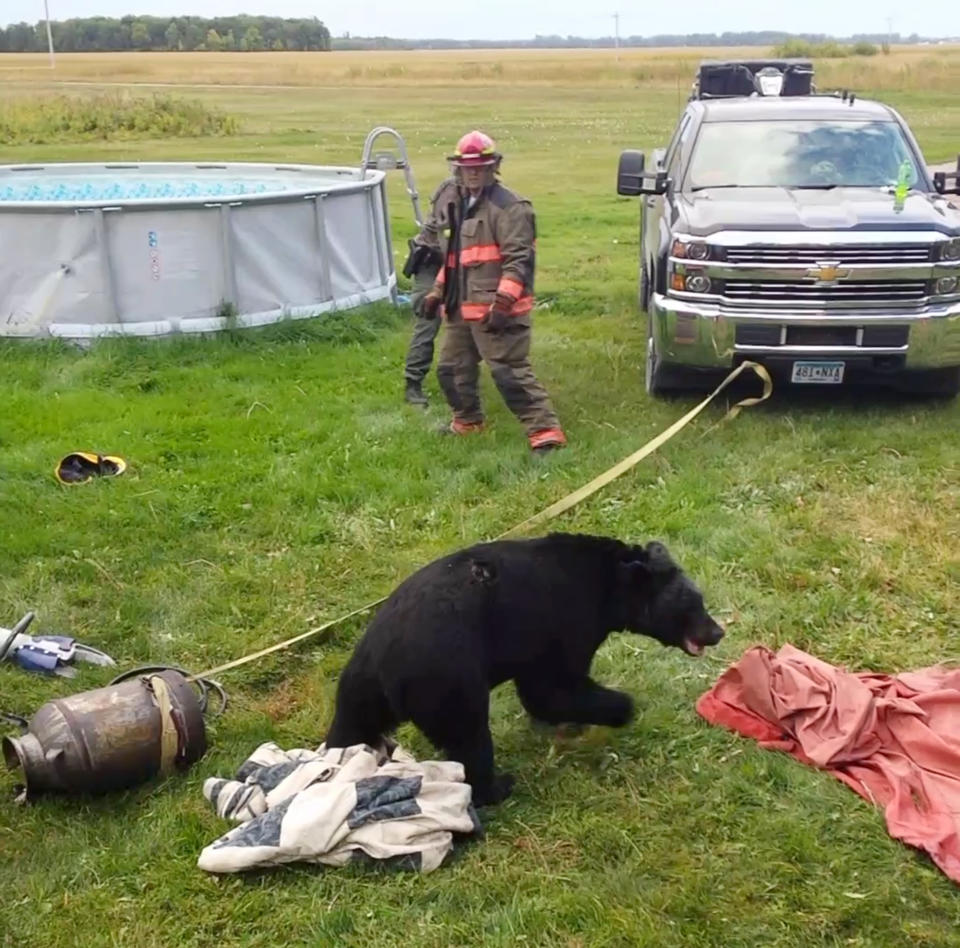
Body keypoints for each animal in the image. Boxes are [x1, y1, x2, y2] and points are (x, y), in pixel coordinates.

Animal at [326, 532, 724, 800]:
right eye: (693, 603)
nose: (718, 631)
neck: (608, 585)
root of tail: (385, 661)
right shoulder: (563, 620)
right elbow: (551, 687)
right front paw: (618, 709)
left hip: (361, 687)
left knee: (350, 727)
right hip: (447, 678)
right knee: (469, 738)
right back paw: (497, 787)